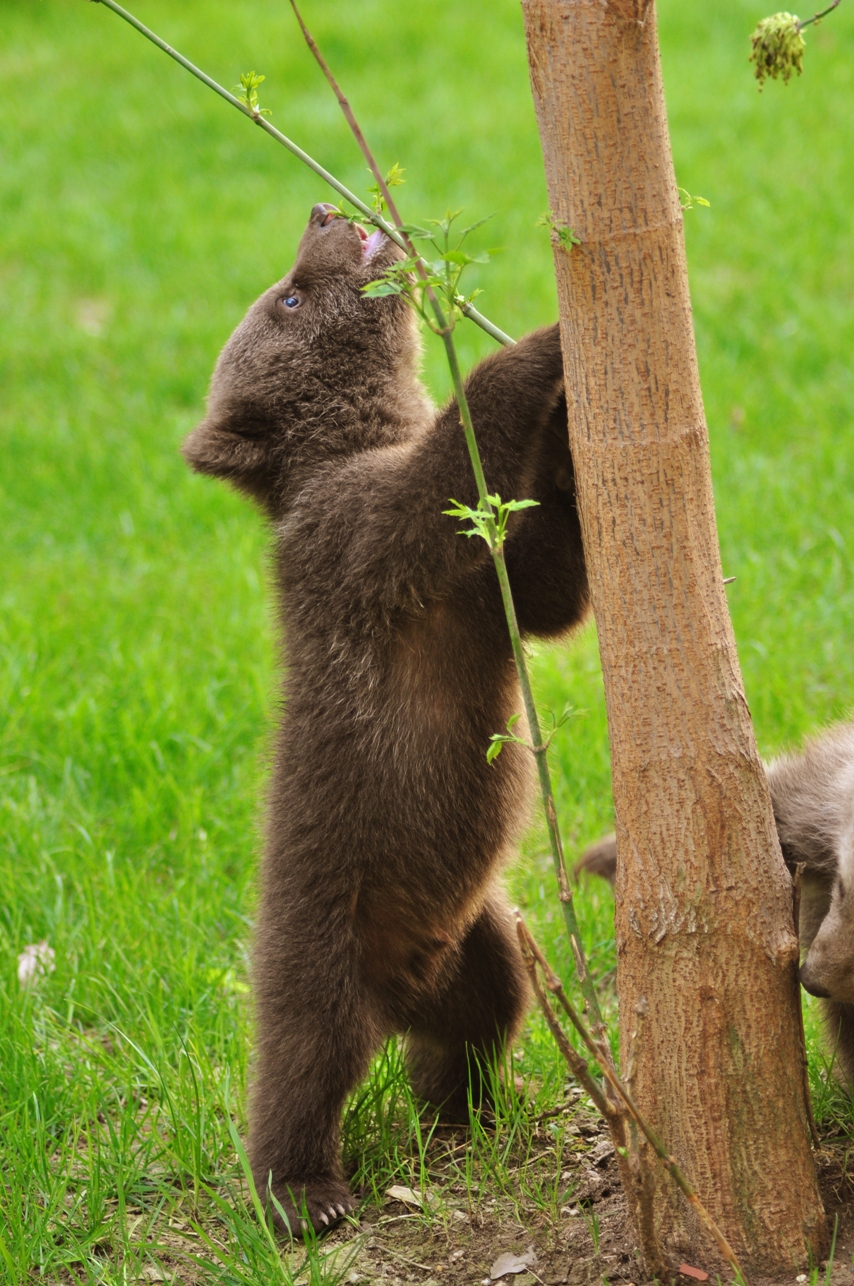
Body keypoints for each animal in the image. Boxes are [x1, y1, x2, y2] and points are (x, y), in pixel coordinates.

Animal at [183, 205, 591, 1229]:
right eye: (289, 297)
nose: (324, 210)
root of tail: (402, 989)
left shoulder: (488, 589)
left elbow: (550, 588)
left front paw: (573, 420)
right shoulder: (365, 541)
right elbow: (437, 482)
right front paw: (534, 348)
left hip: (479, 934)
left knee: (478, 1023)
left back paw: (473, 1113)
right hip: (322, 937)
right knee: (301, 1064)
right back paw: (304, 1194)